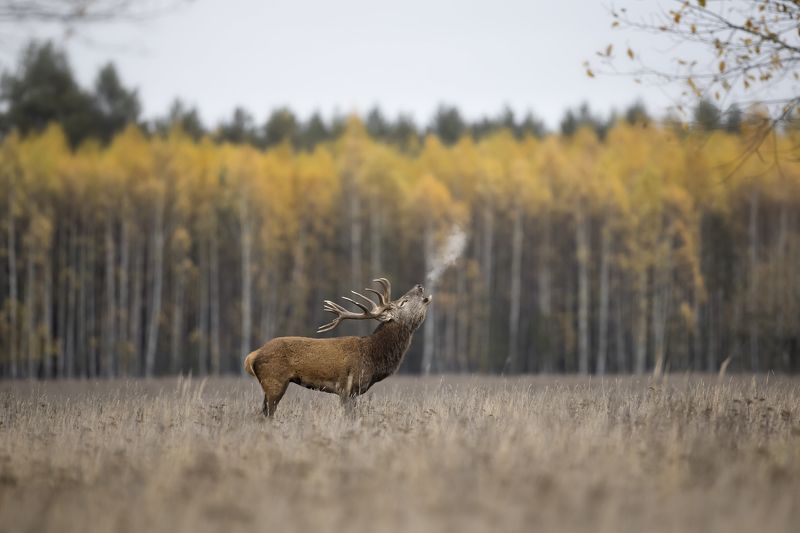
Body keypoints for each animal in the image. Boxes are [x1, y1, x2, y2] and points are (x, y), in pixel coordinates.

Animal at [244, 278, 431, 417]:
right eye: (403, 302)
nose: (419, 286)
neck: (373, 356)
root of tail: (252, 356)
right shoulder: (347, 388)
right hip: (274, 381)